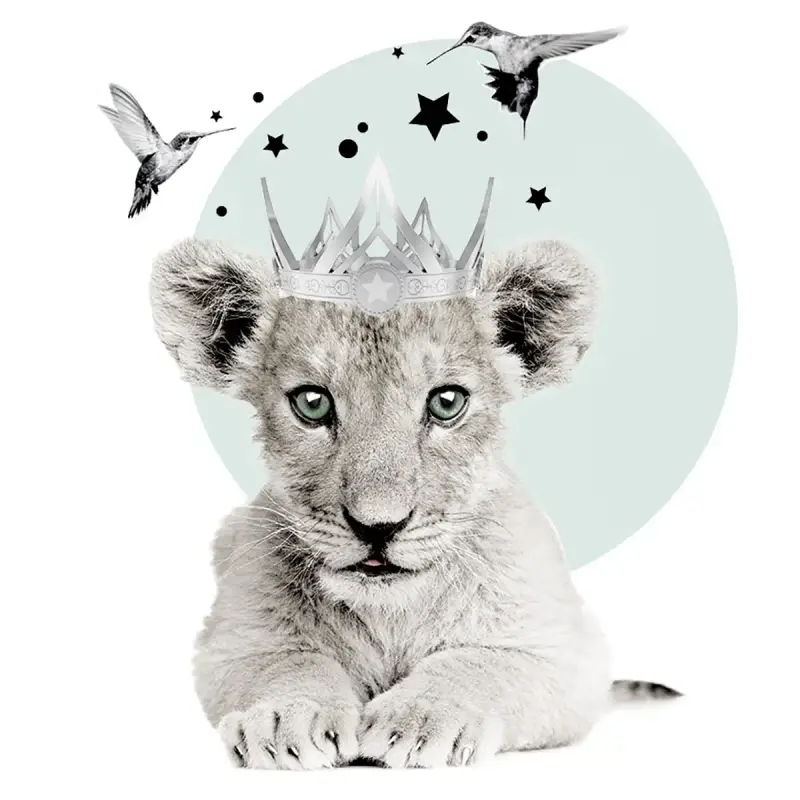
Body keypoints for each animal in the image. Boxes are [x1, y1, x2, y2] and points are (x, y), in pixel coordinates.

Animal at [149, 235, 679, 769]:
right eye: (312, 403)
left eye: (447, 402)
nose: (377, 527)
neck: (389, 612)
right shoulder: (234, 641)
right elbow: (286, 664)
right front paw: (287, 719)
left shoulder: (565, 652)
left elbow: (481, 663)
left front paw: (420, 720)